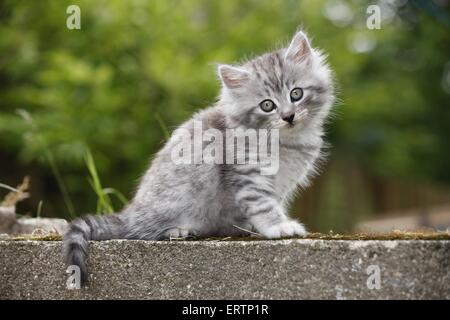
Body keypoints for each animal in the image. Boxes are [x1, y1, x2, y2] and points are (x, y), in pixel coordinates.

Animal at [62, 30, 334, 284]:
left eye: (296, 94)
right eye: (267, 105)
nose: (288, 116)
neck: (287, 142)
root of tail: (130, 213)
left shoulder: (283, 184)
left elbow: (270, 203)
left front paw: (257, 227)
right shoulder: (248, 174)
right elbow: (263, 204)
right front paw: (279, 226)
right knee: (141, 231)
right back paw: (177, 230)